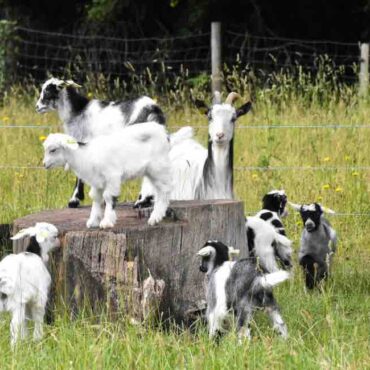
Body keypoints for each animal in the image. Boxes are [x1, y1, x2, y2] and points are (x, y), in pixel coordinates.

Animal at [36, 77, 166, 208]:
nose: (37, 107)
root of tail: (152, 108)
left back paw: (142, 200)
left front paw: (74, 200)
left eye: (48, 92)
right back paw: (148, 200)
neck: (78, 112)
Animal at [42, 124, 173, 228]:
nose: (44, 164)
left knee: (165, 190)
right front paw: (93, 221)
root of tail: (163, 131)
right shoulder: (96, 181)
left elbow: (108, 197)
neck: (87, 155)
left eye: (53, 150)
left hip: (158, 167)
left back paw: (155, 218)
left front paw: (106, 222)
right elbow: (95, 197)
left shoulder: (112, 177)